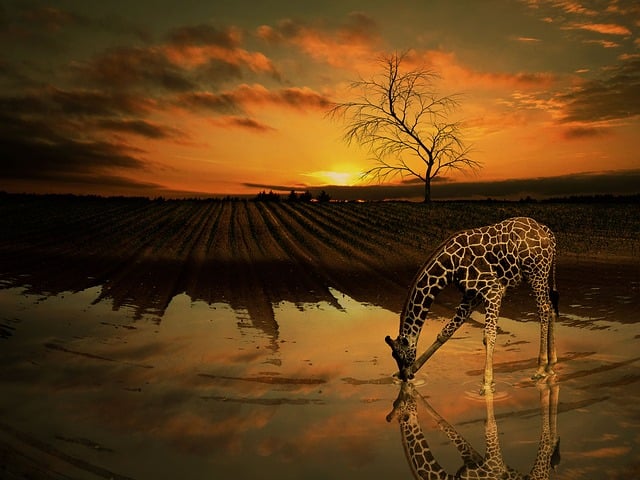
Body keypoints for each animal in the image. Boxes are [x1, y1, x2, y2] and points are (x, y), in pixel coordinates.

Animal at [385, 217, 559, 394]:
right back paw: (551, 366)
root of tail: (548, 233)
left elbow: (489, 335)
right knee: (551, 307)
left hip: (535, 272)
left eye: (397, 355)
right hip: (544, 273)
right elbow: (446, 332)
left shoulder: (493, 289)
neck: (449, 267)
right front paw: (412, 370)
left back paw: (540, 368)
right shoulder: (471, 295)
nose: (405, 375)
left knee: (544, 309)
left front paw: (487, 384)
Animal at [386, 380, 561, 480]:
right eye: (395, 402)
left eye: (402, 403)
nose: (388, 417)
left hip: (536, 474)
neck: (450, 478)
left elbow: (490, 426)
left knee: (544, 445)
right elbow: (445, 424)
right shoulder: (472, 457)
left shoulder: (493, 461)